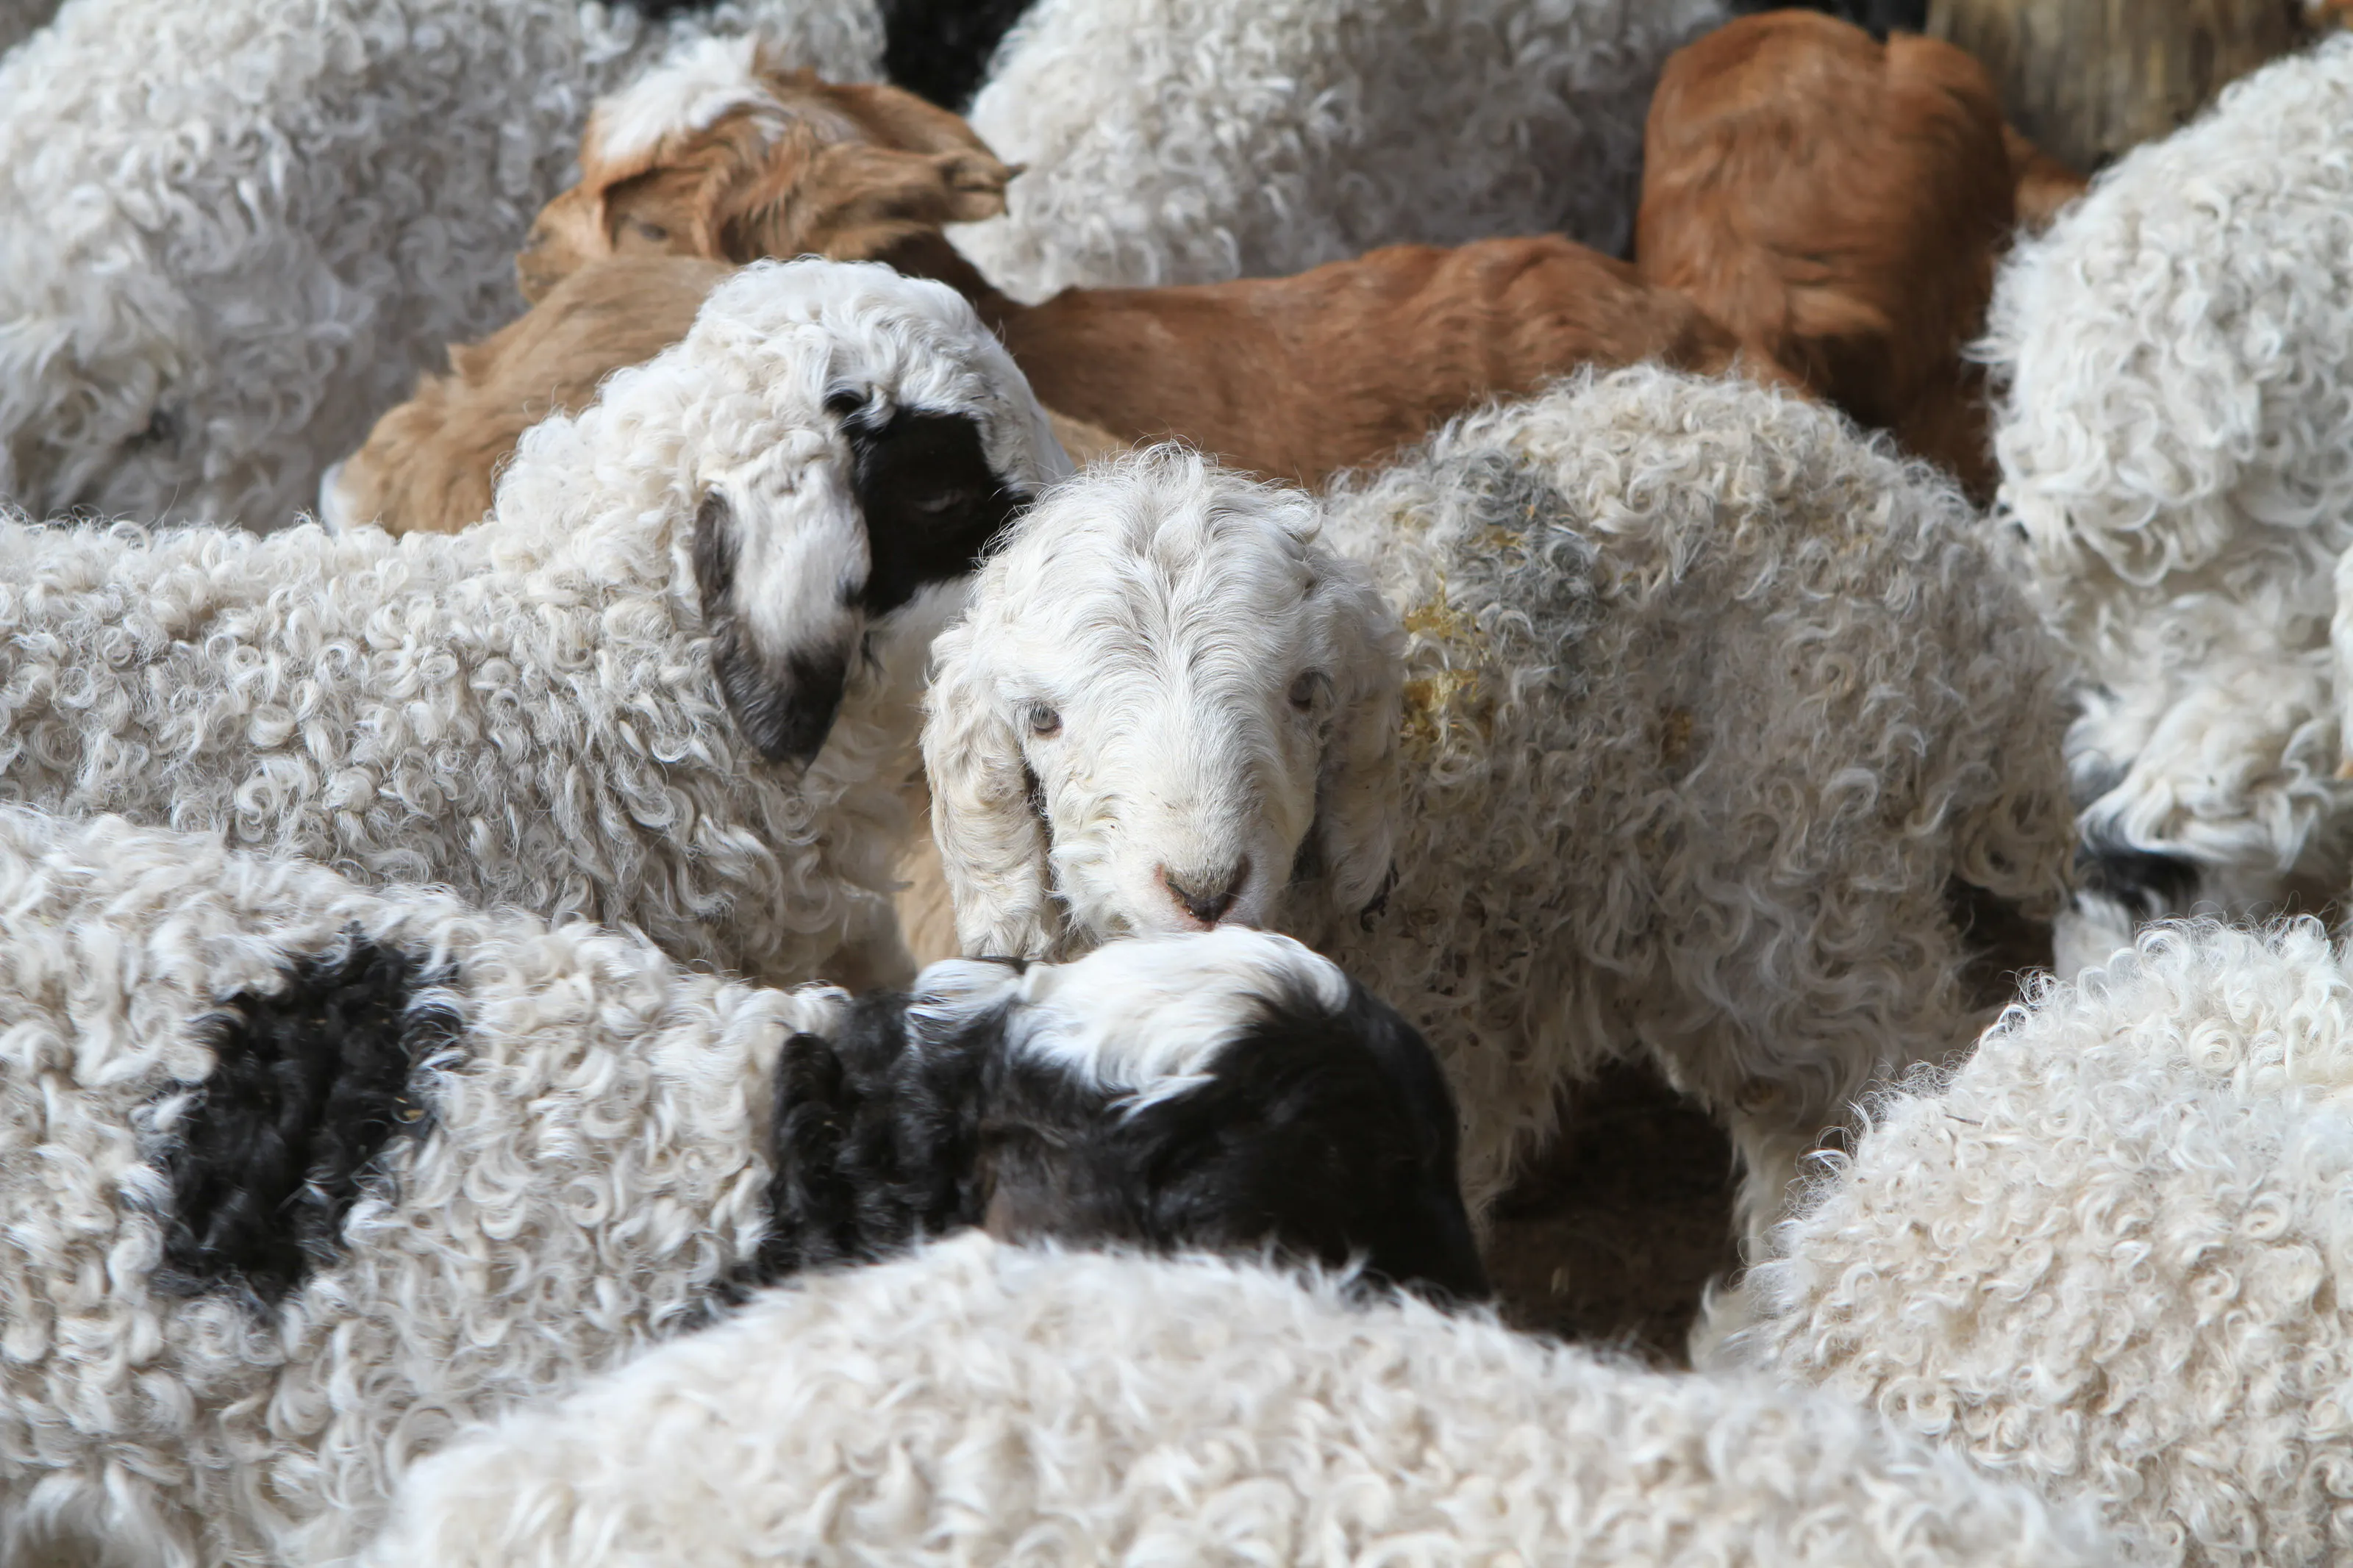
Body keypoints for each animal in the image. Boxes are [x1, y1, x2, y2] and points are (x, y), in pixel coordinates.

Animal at [920, 368, 2075, 1249]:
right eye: (1041, 720)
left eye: (1304, 694)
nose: (1204, 888)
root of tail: (1946, 547)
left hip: (1798, 875)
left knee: (1866, 1080)